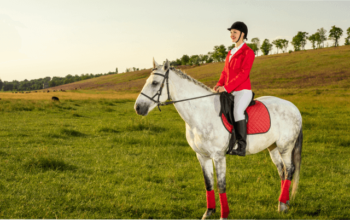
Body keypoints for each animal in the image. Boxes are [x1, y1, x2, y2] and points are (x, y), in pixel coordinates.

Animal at [134, 59, 304, 219]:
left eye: (155, 83)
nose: (138, 108)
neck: (201, 113)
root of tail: (294, 107)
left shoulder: (219, 156)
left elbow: (221, 185)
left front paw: (224, 215)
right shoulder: (202, 156)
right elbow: (208, 183)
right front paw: (208, 212)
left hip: (285, 147)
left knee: (289, 170)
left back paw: (283, 205)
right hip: (273, 147)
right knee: (282, 171)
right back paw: (283, 203)